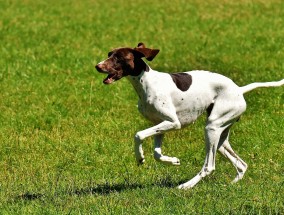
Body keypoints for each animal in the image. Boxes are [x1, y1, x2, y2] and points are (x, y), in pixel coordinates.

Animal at [96, 42, 284, 189]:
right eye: (109, 54)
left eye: (118, 57)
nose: (97, 66)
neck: (146, 82)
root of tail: (239, 89)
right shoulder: (161, 125)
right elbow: (157, 154)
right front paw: (172, 161)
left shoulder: (173, 123)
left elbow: (138, 135)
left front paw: (140, 157)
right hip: (221, 137)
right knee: (241, 165)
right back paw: (230, 185)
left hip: (211, 128)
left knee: (209, 166)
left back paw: (186, 186)